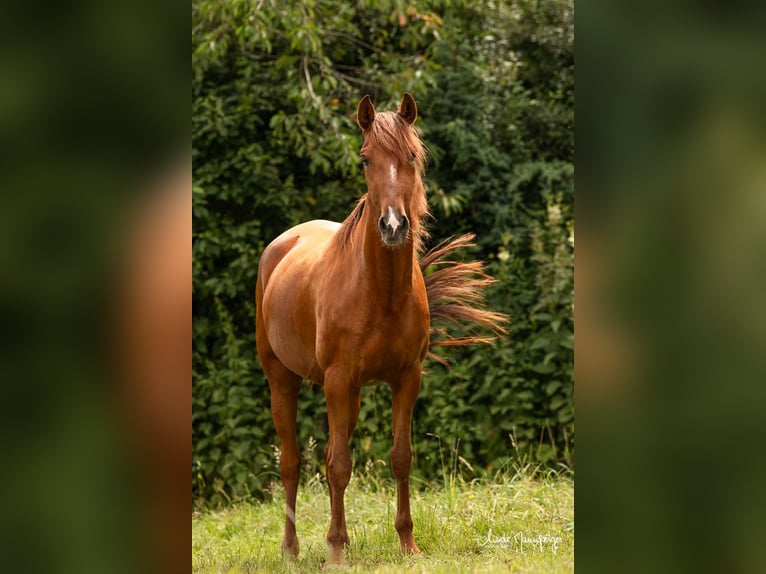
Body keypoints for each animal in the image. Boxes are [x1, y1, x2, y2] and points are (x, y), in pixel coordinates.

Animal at [258, 92, 508, 564]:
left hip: (350, 395)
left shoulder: (406, 378)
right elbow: (338, 466)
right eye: (365, 158)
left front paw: (407, 543)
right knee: (292, 462)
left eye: (411, 155)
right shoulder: (338, 380)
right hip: (282, 379)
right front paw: (337, 553)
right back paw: (291, 549)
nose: (393, 226)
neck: (381, 292)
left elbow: (400, 457)